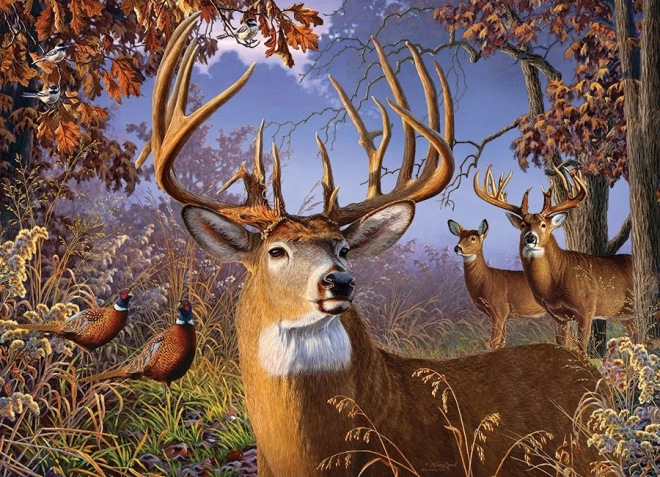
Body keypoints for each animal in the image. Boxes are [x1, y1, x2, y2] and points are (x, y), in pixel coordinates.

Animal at [448, 219, 547, 348]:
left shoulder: (500, 310)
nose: (457, 248)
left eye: (473, 238)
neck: (486, 280)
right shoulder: (502, 315)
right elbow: (501, 343)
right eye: (459, 237)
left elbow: (492, 343)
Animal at [474, 165, 635, 354]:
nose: (530, 237)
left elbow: (582, 348)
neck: (557, 280)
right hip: (626, 315)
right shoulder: (559, 316)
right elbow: (562, 344)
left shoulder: (587, 309)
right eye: (523, 225)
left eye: (544, 225)